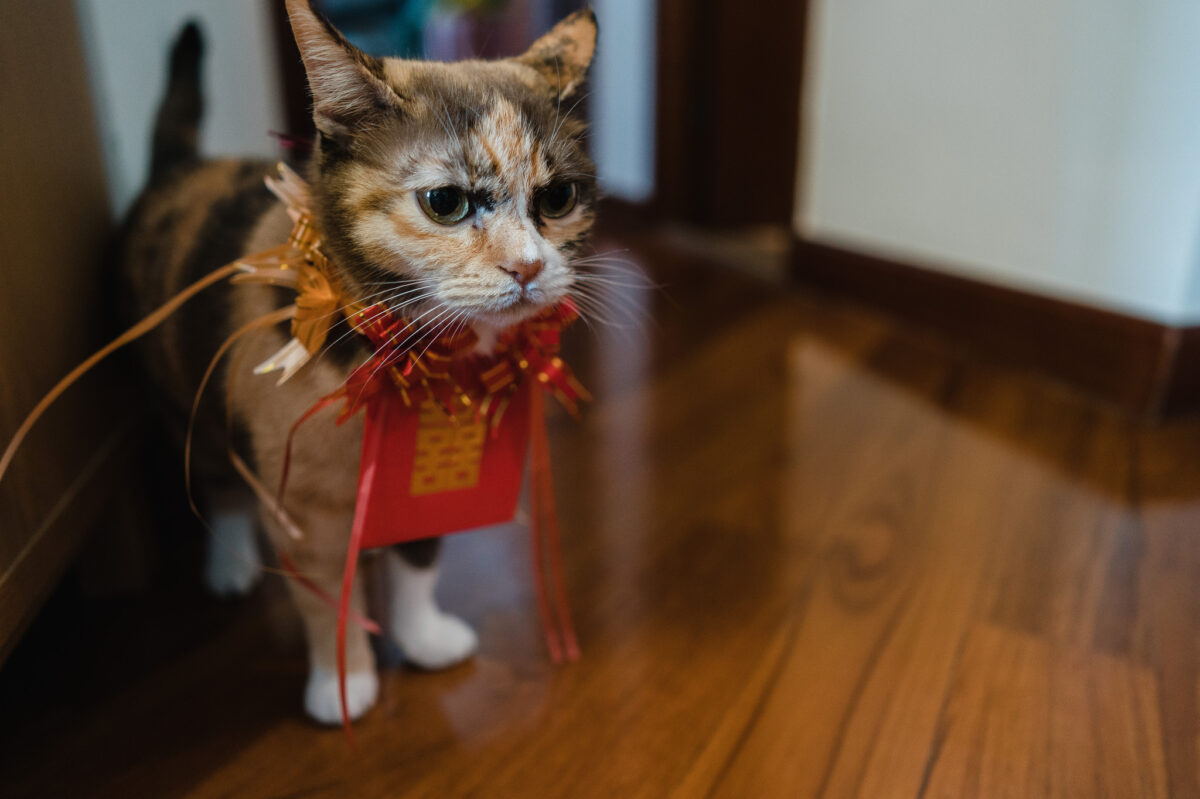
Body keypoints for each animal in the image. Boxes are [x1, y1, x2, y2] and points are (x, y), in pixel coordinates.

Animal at [119, 0, 598, 725]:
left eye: (559, 197)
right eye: (446, 202)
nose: (529, 265)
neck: (405, 366)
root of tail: (181, 165)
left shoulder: (423, 485)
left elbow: (420, 558)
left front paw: (422, 637)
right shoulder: (302, 511)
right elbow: (325, 604)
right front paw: (341, 682)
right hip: (181, 402)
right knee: (217, 478)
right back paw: (229, 564)